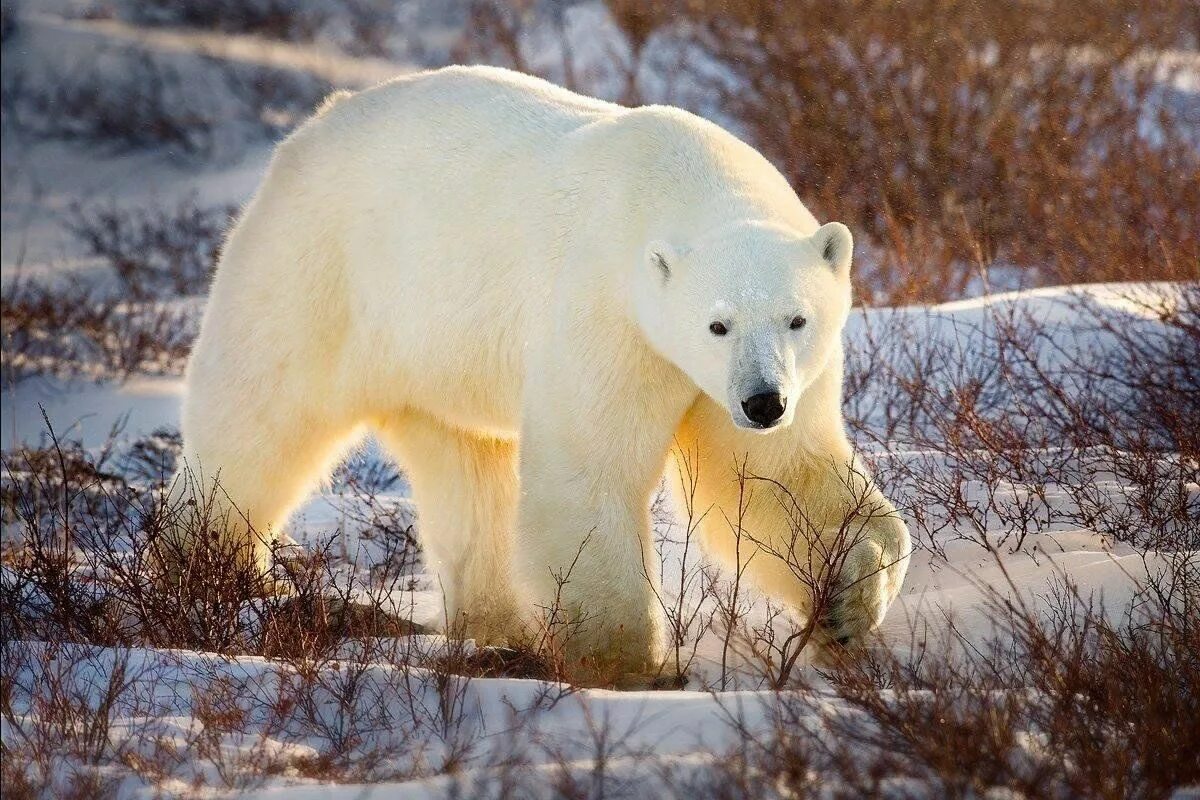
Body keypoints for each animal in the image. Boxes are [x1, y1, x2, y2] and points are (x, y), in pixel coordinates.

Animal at [175, 65, 907, 676]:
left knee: (466, 467)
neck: (682, 181)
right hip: (318, 270)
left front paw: (846, 606)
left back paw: (498, 625)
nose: (763, 402)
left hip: (440, 354)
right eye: (717, 324)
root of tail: (313, 125)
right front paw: (629, 665)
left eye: (796, 319)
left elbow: (777, 477)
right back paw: (209, 574)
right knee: (258, 417)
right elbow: (590, 472)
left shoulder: (768, 378)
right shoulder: (610, 313)